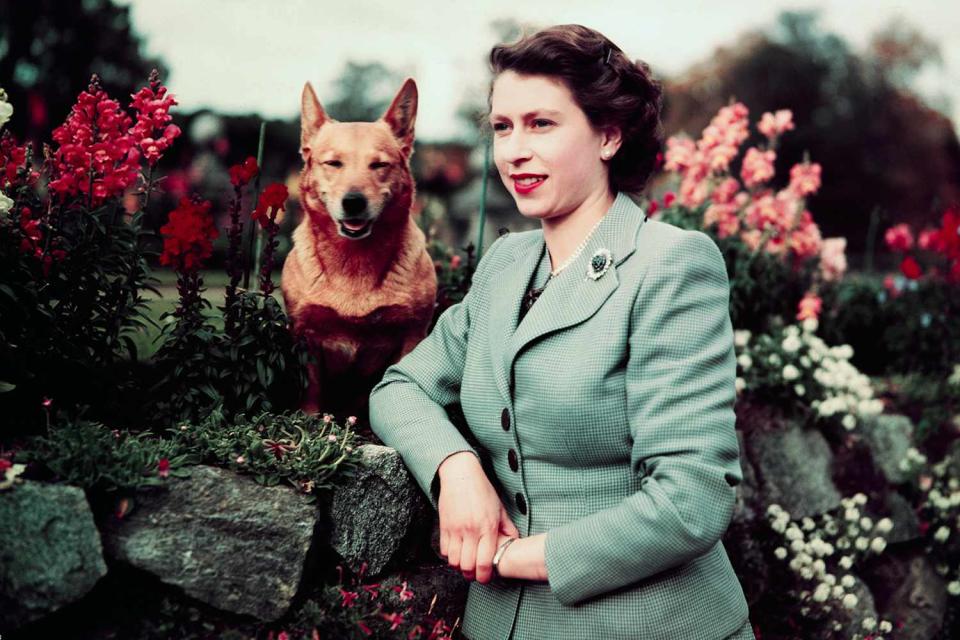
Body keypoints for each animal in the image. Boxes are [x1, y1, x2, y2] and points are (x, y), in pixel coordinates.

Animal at [280, 77, 436, 422]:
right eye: (333, 163)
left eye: (378, 165)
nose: (353, 202)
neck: (354, 261)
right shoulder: (305, 333)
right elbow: (311, 390)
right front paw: (309, 422)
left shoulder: (413, 334)